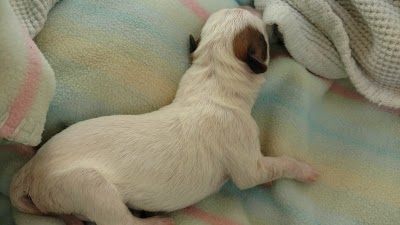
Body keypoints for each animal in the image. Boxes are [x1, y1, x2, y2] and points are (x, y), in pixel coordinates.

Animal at [8, 8, 318, 225]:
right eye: (263, 33)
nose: (262, 12)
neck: (213, 77)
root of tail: (30, 170)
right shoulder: (248, 162)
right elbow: (276, 165)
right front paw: (306, 170)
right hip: (89, 188)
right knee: (119, 222)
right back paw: (157, 220)